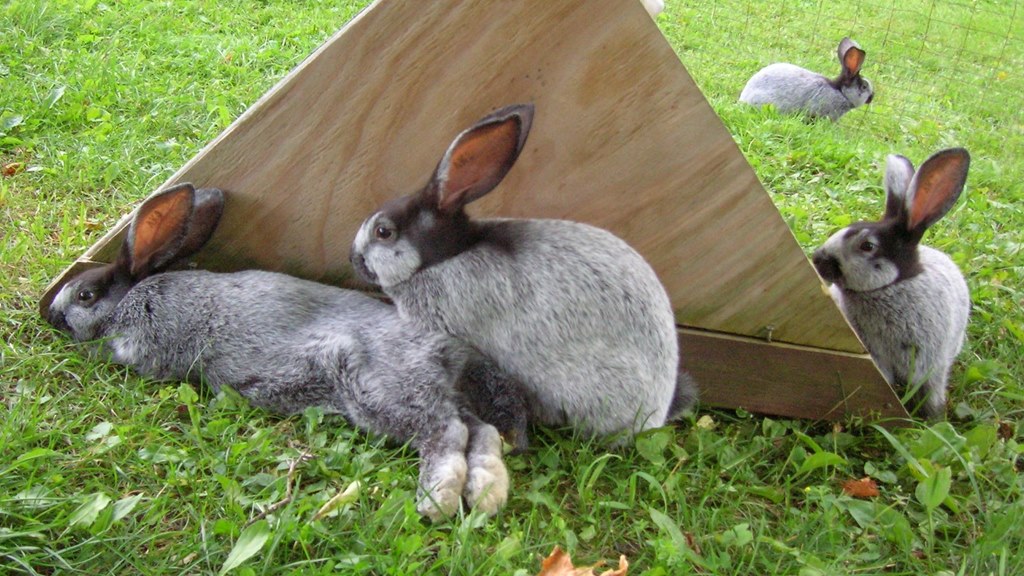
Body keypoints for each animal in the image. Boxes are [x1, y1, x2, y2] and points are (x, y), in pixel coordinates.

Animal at [45, 182, 529, 520]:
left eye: (85, 295)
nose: (50, 315)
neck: (129, 300)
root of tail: (448, 349)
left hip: (383, 389)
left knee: (448, 431)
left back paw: (437, 500)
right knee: (481, 431)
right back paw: (486, 495)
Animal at [811, 148, 971, 418]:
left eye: (867, 246)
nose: (817, 259)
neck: (890, 286)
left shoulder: (932, 365)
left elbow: (932, 392)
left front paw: (934, 418)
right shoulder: (874, 354)